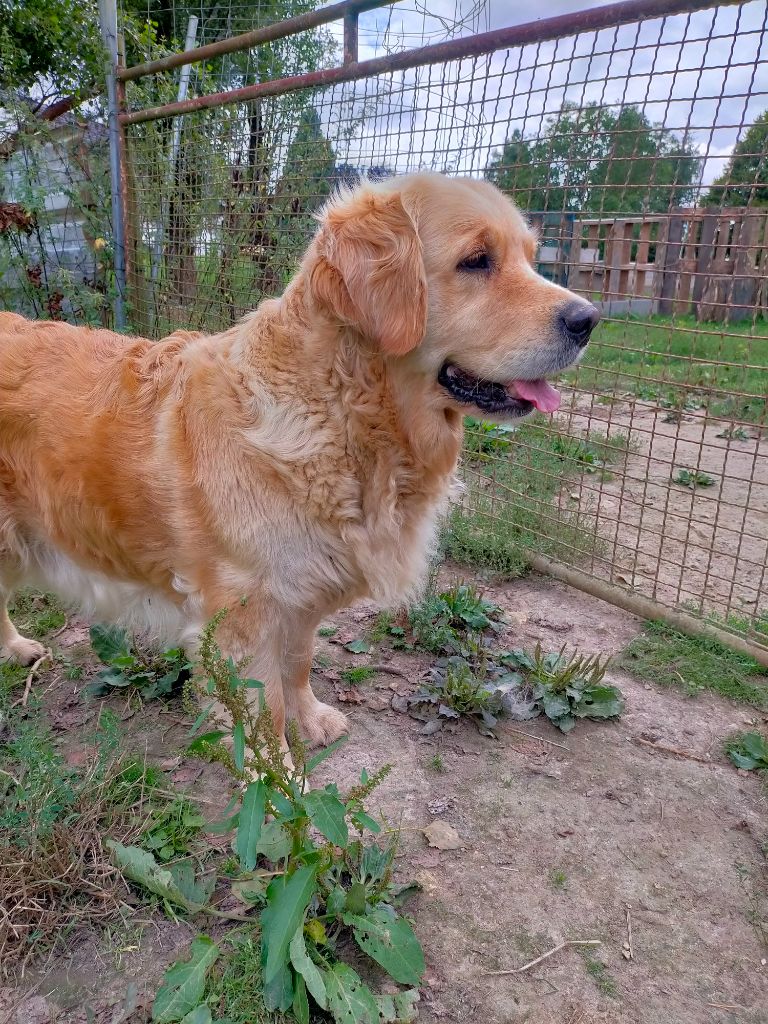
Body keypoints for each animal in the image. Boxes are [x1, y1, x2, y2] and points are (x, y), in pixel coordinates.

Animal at [0, 174, 602, 753]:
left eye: (531, 256)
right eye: (477, 260)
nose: (589, 319)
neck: (340, 413)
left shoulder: (302, 593)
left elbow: (300, 664)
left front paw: (310, 720)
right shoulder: (243, 616)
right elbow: (264, 718)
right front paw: (281, 779)